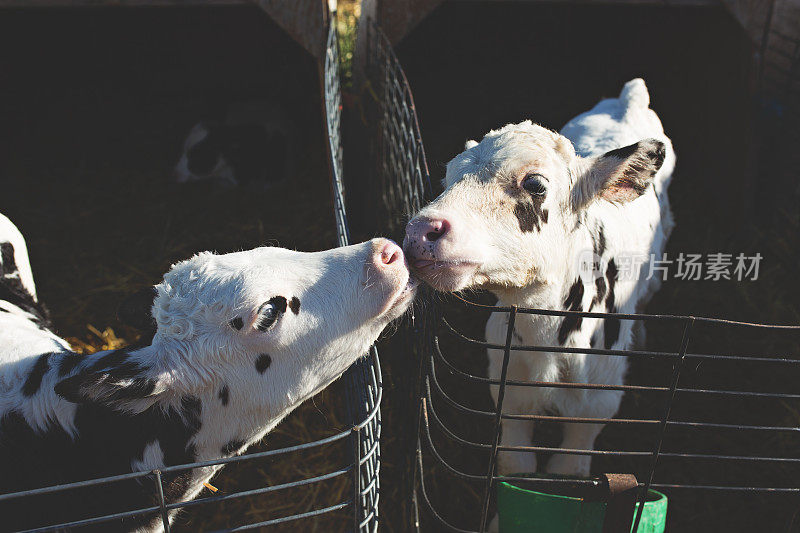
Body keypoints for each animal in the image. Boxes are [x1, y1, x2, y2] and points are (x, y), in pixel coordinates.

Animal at [406, 80, 676, 486]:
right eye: (447, 177)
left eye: (535, 183)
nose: (421, 230)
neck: (546, 337)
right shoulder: (509, 395)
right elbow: (516, 464)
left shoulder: (595, 407)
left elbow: (570, 471)